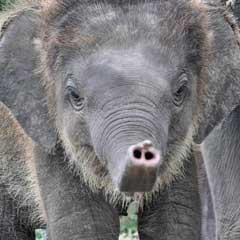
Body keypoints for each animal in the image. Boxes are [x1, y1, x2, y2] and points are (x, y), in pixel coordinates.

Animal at [1, 0, 240, 240]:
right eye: (74, 95)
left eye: (180, 91)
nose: (142, 151)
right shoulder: (50, 142)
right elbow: (85, 225)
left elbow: (175, 222)